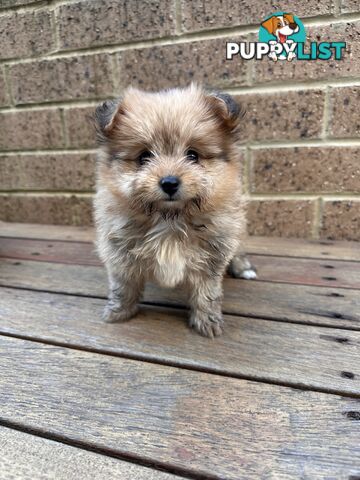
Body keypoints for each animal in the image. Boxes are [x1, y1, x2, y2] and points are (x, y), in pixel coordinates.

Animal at [93, 83, 256, 338]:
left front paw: (207, 322)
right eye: (144, 157)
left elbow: (206, 294)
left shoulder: (212, 256)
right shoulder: (120, 253)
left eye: (192, 155)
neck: (170, 218)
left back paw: (243, 268)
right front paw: (120, 311)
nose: (169, 182)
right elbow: (124, 285)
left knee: (238, 250)